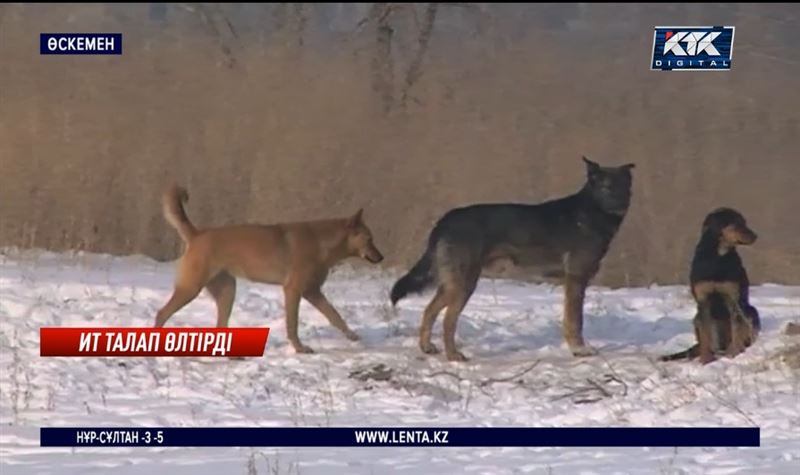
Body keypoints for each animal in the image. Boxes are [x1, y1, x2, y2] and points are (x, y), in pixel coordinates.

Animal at [155, 184, 386, 356]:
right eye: (369, 239)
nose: (381, 257)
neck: (322, 243)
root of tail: (197, 234)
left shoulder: (313, 292)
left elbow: (334, 315)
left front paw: (351, 335)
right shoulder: (294, 291)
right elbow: (292, 324)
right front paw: (299, 348)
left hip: (227, 291)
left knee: (220, 325)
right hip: (191, 288)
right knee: (161, 313)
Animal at [390, 158, 636, 362]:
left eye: (624, 187)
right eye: (605, 187)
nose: (620, 204)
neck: (591, 212)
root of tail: (445, 219)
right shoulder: (576, 279)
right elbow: (575, 320)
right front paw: (579, 350)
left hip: (452, 284)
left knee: (429, 311)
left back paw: (427, 347)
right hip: (464, 284)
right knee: (448, 320)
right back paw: (453, 356)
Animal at [664, 207, 764, 364]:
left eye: (744, 222)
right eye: (736, 223)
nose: (755, 236)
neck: (718, 256)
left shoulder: (733, 299)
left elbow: (736, 328)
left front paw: (734, 355)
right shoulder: (703, 300)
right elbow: (706, 333)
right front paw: (705, 359)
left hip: (751, 311)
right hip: (697, 318)